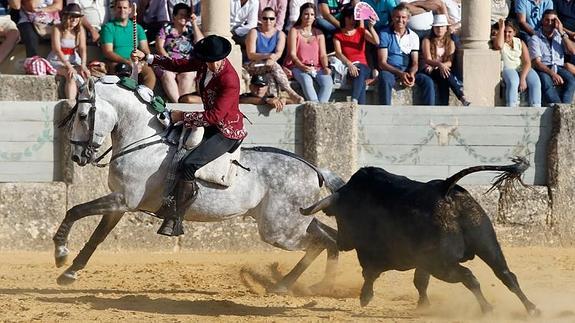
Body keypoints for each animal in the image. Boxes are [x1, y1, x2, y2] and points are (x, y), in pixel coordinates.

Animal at [53, 79, 342, 294]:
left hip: (278, 230)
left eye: (82, 115)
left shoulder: (123, 199)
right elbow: (97, 236)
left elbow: (76, 210)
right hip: (291, 221)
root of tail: (315, 170)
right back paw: (314, 284)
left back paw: (291, 285)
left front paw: (60, 252)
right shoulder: (120, 204)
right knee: (328, 237)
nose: (77, 156)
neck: (144, 141)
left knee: (318, 242)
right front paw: (70, 272)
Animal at [302, 159, 540, 316]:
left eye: (340, 215)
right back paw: (532, 309)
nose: (341, 244)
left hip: (442, 264)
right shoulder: (421, 261)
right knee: (506, 274)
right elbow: (420, 281)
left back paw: (488, 308)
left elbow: (370, 274)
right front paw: (423, 305)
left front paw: (364, 298)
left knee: (469, 277)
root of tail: (445, 188)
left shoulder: (371, 254)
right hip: (487, 244)